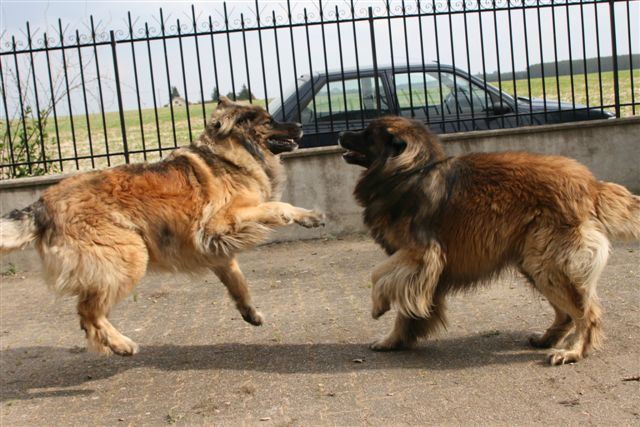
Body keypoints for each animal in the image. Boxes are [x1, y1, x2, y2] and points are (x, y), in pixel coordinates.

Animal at [0, 98, 324, 356]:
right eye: (269, 122)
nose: (300, 125)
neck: (229, 156)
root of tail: (42, 204)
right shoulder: (224, 222)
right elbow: (279, 207)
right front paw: (309, 216)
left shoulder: (217, 251)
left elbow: (238, 282)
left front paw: (251, 313)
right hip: (130, 254)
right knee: (87, 313)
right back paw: (121, 344)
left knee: (86, 315)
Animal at [340, 115, 640, 366]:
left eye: (367, 134)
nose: (341, 133)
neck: (410, 172)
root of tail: (592, 185)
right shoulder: (422, 268)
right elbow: (405, 307)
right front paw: (393, 340)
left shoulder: (421, 255)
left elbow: (377, 274)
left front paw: (379, 308)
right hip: (535, 263)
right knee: (568, 313)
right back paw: (548, 339)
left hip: (548, 263)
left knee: (586, 314)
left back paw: (573, 351)